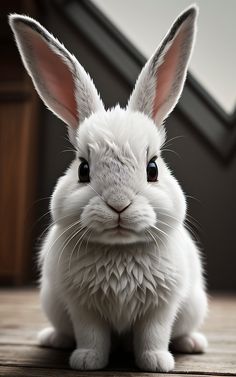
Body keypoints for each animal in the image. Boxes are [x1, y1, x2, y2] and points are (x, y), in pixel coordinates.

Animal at [10, 5, 207, 370]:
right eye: (83, 170)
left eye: (153, 168)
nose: (118, 203)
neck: (119, 250)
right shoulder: (82, 308)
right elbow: (92, 336)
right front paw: (87, 361)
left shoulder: (161, 308)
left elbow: (153, 335)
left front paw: (156, 363)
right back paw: (53, 339)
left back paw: (192, 343)